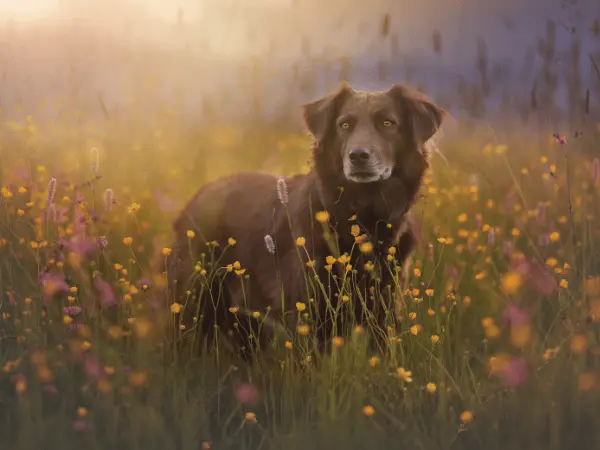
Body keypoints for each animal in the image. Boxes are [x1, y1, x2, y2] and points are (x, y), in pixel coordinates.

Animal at [159, 82, 446, 358]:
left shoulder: (384, 313)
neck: (362, 220)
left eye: (388, 123)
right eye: (344, 125)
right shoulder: (310, 315)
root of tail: (196, 196)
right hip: (195, 305)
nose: (357, 156)